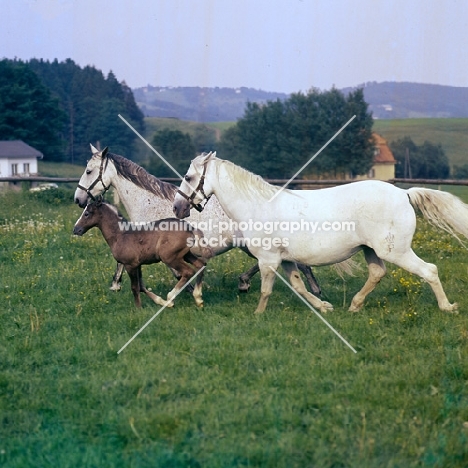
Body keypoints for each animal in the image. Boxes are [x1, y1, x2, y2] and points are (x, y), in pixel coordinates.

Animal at [173, 153, 468, 314]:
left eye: (188, 177)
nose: (177, 208)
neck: (256, 205)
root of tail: (404, 193)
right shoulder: (286, 260)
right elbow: (299, 287)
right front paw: (324, 306)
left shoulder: (268, 260)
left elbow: (267, 290)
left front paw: (257, 314)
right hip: (371, 251)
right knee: (377, 273)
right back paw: (355, 305)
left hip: (395, 251)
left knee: (429, 270)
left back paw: (447, 307)